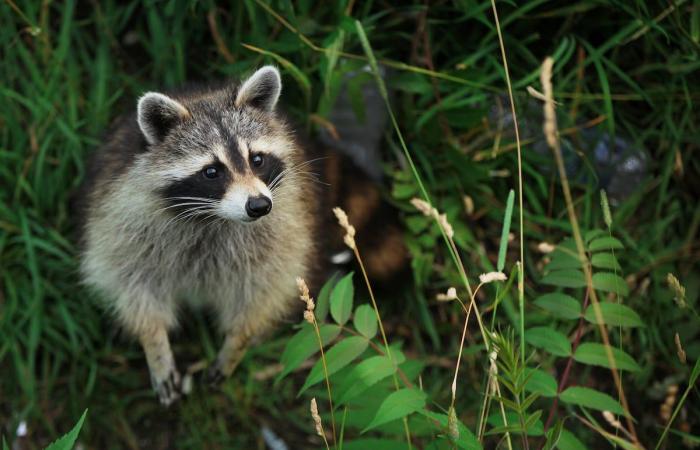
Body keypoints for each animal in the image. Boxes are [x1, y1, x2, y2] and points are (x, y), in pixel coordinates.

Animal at [78, 66, 404, 404]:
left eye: (257, 159)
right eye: (212, 171)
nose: (259, 205)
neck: (214, 217)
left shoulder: (284, 227)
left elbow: (263, 290)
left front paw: (238, 343)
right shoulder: (124, 220)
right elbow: (133, 284)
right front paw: (155, 345)